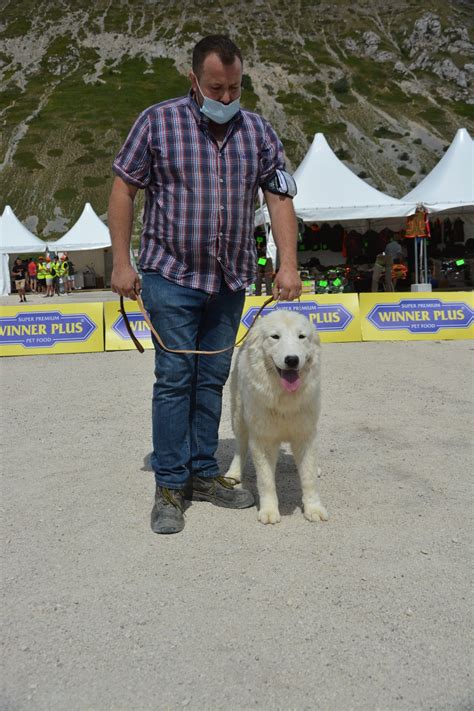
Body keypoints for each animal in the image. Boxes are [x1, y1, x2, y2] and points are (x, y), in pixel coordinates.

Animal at [225, 308, 328, 524]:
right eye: (275, 337)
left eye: (301, 337)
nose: (292, 360)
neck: (284, 397)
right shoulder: (262, 439)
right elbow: (266, 481)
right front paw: (269, 511)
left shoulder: (305, 435)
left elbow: (308, 478)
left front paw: (314, 508)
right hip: (238, 417)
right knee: (240, 446)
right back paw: (234, 472)